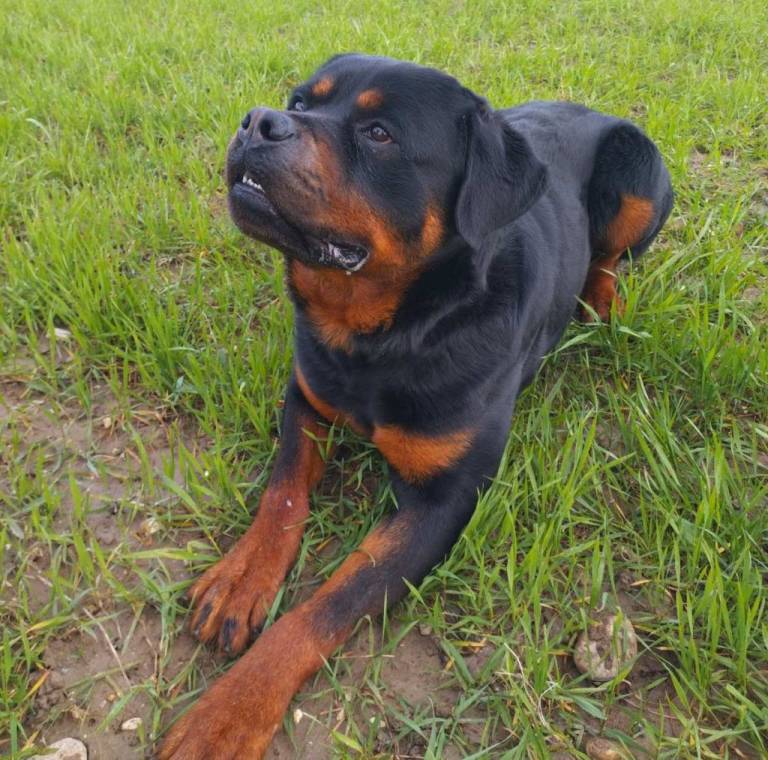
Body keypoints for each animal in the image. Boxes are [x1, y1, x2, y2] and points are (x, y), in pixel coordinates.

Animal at [159, 54, 672, 758]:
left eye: (379, 134)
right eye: (299, 101)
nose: (259, 121)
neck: (379, 334)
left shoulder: (446, 501)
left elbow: (331, 602)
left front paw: (229, 713)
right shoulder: (306, 393)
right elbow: (285, 492)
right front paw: (243, 577)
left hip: (638, 179)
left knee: (613, 258)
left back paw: (604, 304)